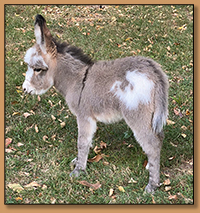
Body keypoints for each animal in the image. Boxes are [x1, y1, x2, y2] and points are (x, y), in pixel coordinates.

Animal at [22, 15, 169, 194]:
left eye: (37, 69)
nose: (24, 89)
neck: (76, 80)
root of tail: (154, 71)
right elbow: (88, 140)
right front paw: (78, 161)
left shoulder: (84, 116)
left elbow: (82, 142)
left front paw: (79, 170)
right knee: (158, 138)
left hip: (137, 115)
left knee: (152, 144)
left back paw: (152, 185)